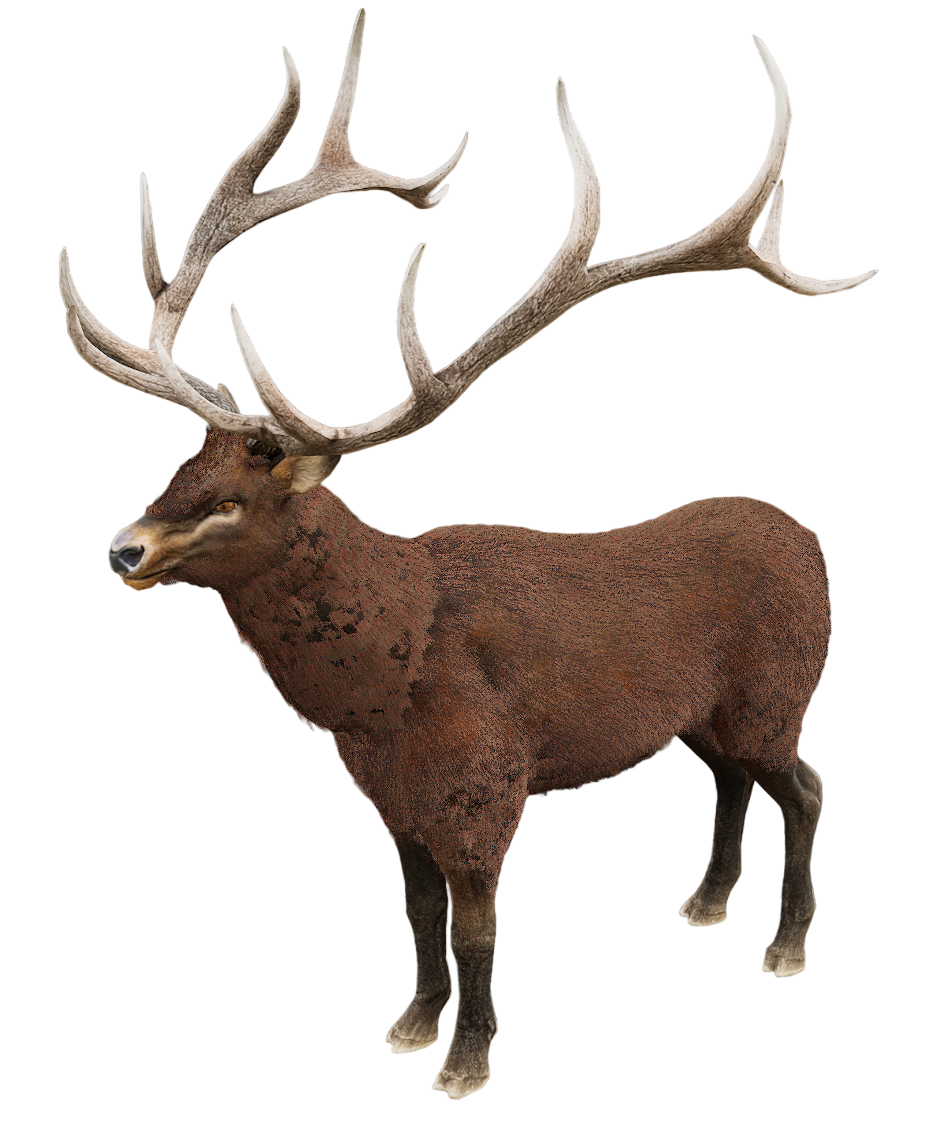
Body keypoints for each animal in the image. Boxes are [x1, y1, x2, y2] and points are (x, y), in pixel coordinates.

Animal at [61, 9, 874, 1100]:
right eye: (178, 464)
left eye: (232, 500)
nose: (123, 546)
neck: (385, 681)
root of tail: (809, 536)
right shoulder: (390, 801)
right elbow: (417, 917)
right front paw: (410, 1024)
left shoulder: (484, 786)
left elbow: (479, 931)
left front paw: (466, 1061)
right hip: (696, 714)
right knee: (728, 777)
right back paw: (704, 902)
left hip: (775, 692)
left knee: (807, 782)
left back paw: (784, 944)